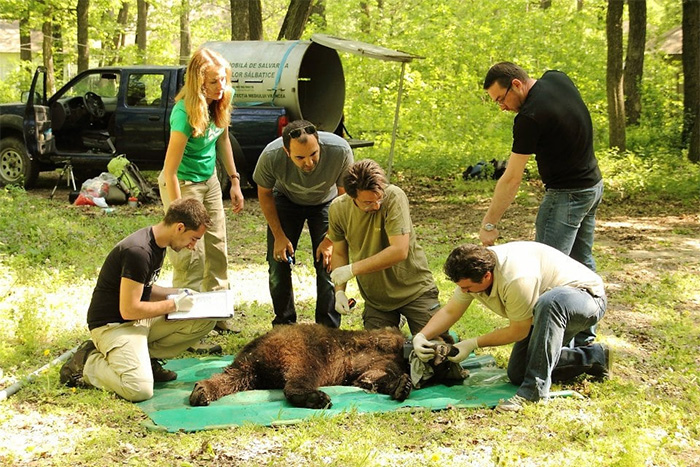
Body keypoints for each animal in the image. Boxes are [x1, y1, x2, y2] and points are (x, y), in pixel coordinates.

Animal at [189, 324, 464, 412]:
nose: (460, 372)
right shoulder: (381, 343)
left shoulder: (378, 364)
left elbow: (371, 377)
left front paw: (402, 386)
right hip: (306, 349)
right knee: (302, 375)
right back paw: (316, 397)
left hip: (249, 364)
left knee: (231, 376)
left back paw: (201, 391)